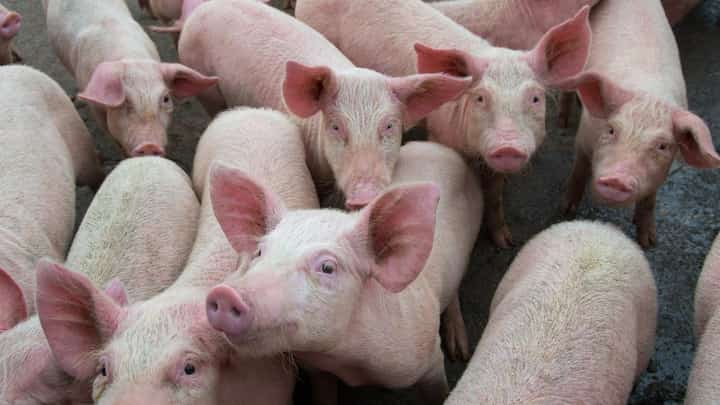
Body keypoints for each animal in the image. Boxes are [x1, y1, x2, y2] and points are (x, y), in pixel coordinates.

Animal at [205, 141, 483, 404]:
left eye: (328, 267)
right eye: (260, 252)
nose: (225, 294)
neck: (345, 362)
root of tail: (436, 146)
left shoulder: (428, 358)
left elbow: (438, 389)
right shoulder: (318, 369)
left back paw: (460, 350)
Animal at [295, 0, 591, 247]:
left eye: (535, 98)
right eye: (480, 97)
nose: (508, 146)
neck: (472, 149)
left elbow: (495, 196)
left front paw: (506, 242)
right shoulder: (439, 132)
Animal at [560, 0, 720, 248]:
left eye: (663, 146)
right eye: (611, 130)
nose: (617, 179)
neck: (649, 93)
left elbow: (650, 200)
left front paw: (648, 241)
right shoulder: (583, 138)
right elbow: (579, 170)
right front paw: (566, 211)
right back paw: (563, 120)